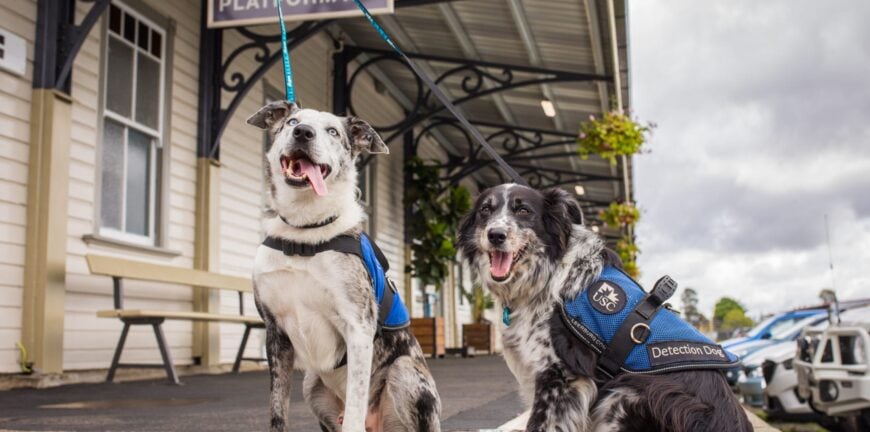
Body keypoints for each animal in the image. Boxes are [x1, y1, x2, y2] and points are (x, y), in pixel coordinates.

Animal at [247, 99, 440, 430]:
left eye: (333, 131)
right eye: (291, 122)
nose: (303, 132)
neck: (304, 232)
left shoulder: (358, 327)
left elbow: (355, 403)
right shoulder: (275, 332)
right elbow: (277, 408)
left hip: (404, 372)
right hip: (311, 382)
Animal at [460, 183, 752, 432]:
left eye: (523, 210)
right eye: (485, 210)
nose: (495, 235)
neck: (546, 274)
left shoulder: (560, 376)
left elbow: (541, 424)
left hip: (628, 392)